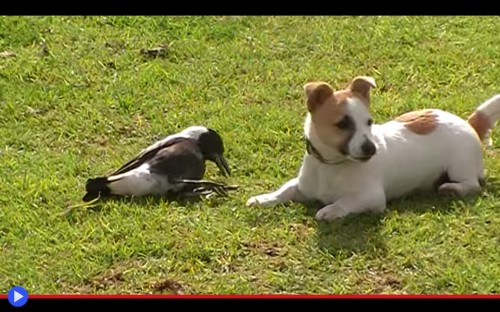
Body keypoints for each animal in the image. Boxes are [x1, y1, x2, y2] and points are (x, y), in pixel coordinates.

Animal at [247, 75, 500, 222]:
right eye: (342, 124)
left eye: (369, 122)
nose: (371, 149)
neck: (332, 166)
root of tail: (469, 123)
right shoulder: (302, 187)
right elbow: (284, 190)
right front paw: (264, 199)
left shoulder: (371, 198)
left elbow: (346, 202)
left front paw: (330, 210)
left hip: (460, 167)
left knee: (473, 184)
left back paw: (452, 189)